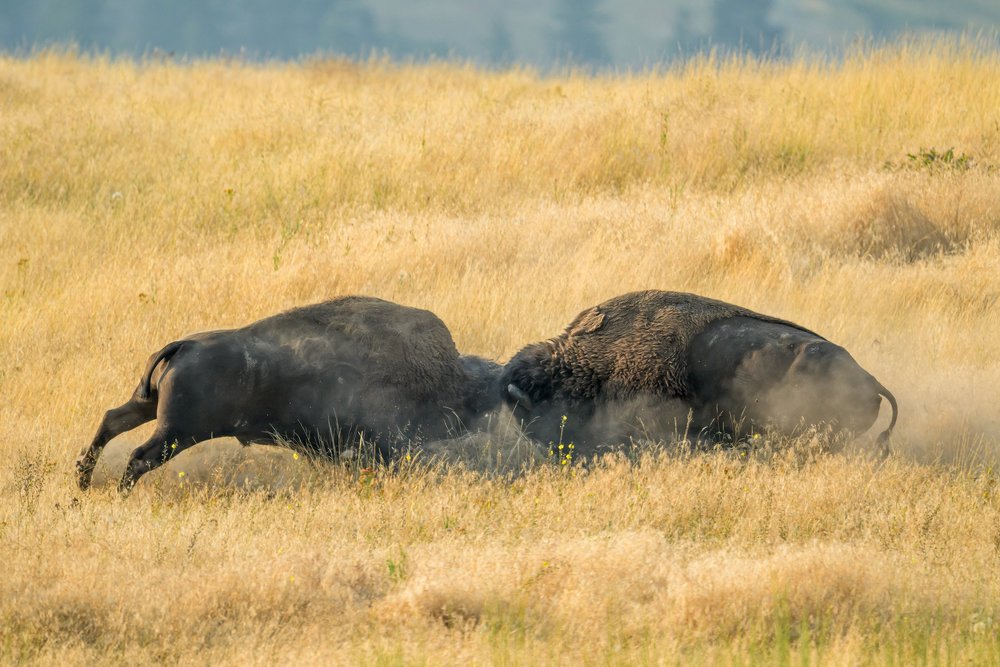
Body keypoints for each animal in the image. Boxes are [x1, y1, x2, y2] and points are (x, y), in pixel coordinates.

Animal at [76, 296, 501, 491]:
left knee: (111, 420)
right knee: (139, 456)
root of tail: (185, 344)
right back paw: (118, 493)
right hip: (177, 432)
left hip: (147, 407)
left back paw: (82, 478)